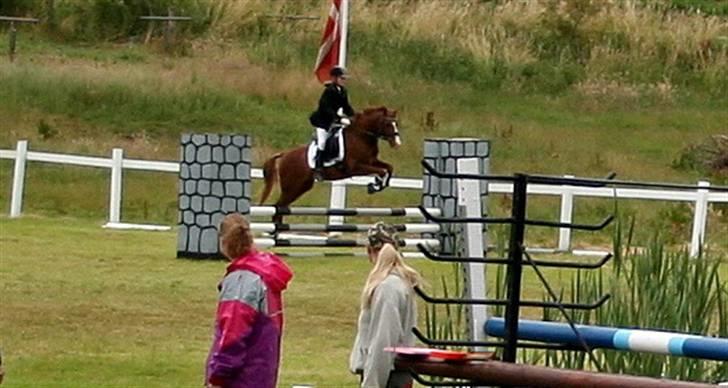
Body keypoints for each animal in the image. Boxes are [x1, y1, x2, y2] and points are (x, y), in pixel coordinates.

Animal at [258, 106, 400, 224]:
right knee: (277, 208)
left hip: (301, 187)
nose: (397, 143)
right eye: (388, 123)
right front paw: (375, 186)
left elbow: (389, 168)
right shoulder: (355, 167)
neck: (361, 136)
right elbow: (382, 171)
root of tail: (284, 154)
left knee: (280, 208)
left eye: (396, 124)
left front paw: (378, 184)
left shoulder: (371, 161)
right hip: (292, 187)